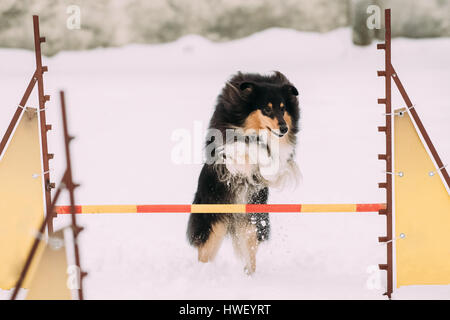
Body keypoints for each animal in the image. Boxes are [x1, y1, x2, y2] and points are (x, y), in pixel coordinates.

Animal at [185, 71, 298, 274]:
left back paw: (249, 276)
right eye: (267, 109)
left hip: (252, 222)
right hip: (213, 221)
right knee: (204, 252)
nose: (284, 128)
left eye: (283, 108)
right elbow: (237, 146)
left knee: (249, 255)